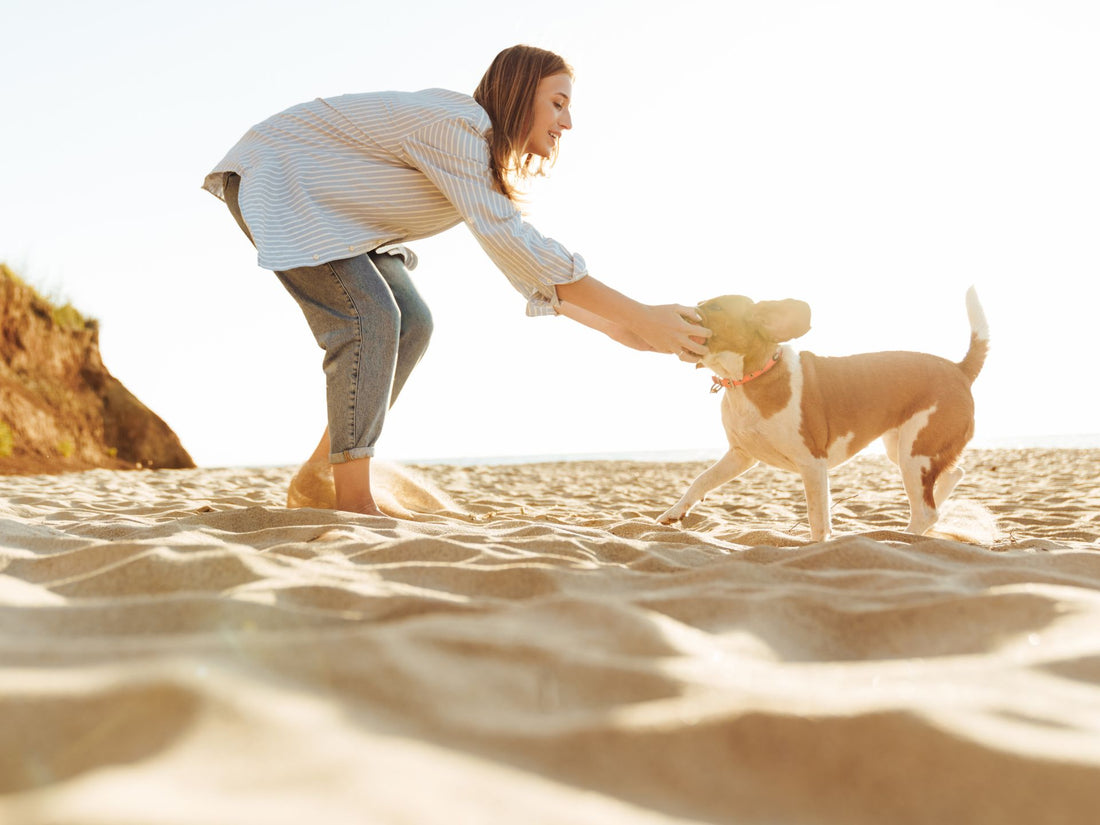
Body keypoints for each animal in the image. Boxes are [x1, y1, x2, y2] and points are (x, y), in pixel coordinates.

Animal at [655, 290, 994, 543]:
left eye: (714, 306)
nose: (674, 313)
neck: (749, 379)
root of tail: (959, 369)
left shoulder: (812, 463)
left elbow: (818, 519)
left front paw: (816, 546)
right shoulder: (741, 455)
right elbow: (701, 480)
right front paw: (674, 512)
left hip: (914, 454)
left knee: (926, 510)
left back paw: (903, 536)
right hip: (903, 450)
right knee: (950, 477)